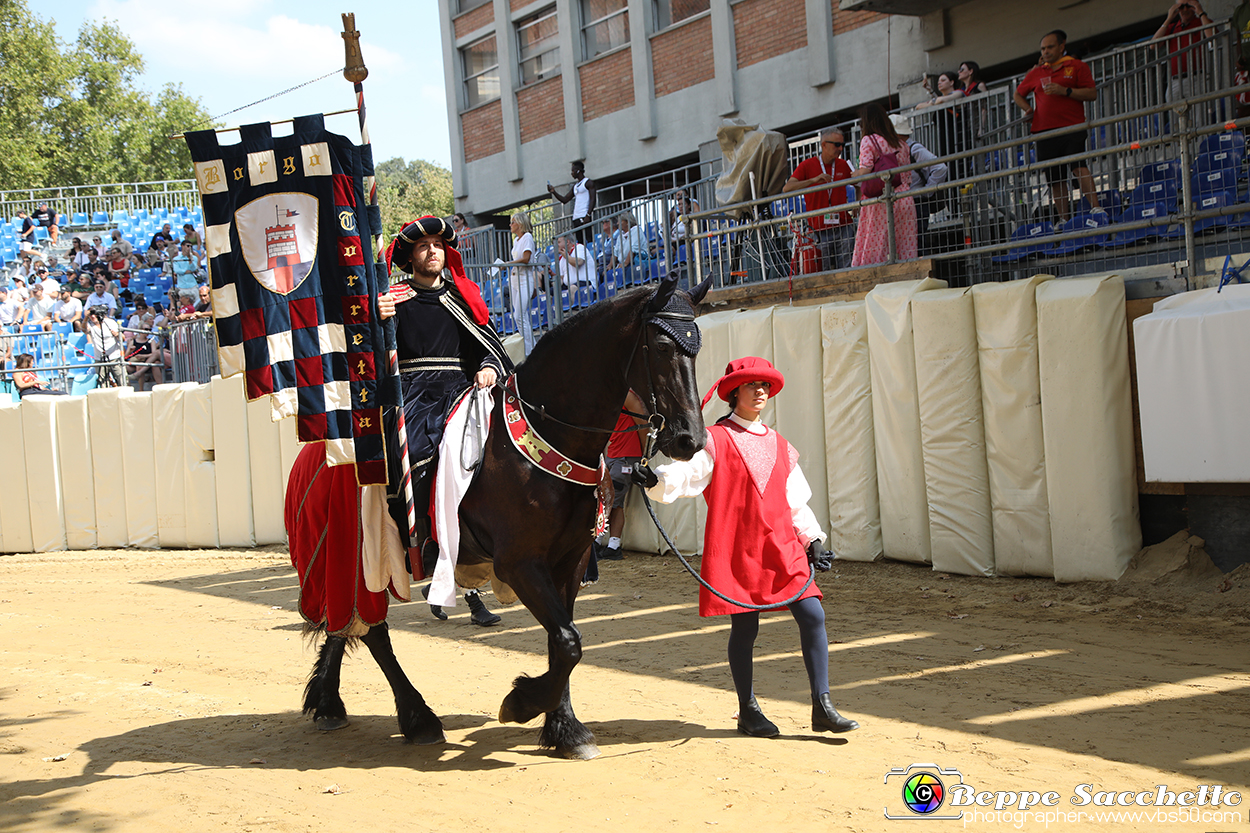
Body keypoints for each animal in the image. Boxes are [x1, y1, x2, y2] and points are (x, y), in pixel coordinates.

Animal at [301, 275, 710, 755]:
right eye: (662, 347)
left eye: (697, 348)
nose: (689, 439)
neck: (550, 435)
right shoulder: (518, 563)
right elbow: (569, 642)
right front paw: (522, 703)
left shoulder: (569, 561)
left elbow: (561, 640)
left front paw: (564, 728)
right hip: (361, 559)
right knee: (371, 631)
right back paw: (417, 717)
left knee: (348, 625)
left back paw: (329, 702)